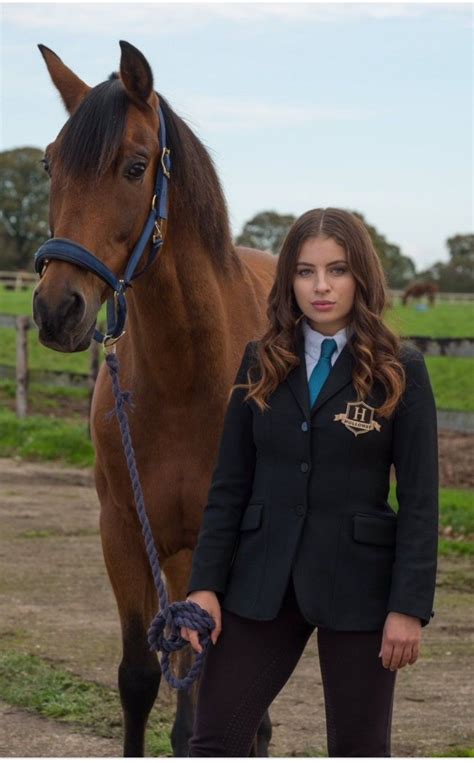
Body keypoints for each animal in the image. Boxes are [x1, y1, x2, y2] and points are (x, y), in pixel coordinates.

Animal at [33, 40, 276, 760]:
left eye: (135, 166)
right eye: (50, 162)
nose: (57, 310)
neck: (186, 376)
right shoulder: (121, 530)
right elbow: (139, 679)